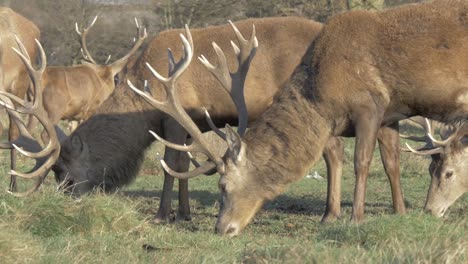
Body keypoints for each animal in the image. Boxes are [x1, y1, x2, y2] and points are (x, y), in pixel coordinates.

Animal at [132, 0, 468, 235]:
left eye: (223, 185)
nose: (221, 228)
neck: (322, 96)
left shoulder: (369, 104)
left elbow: (362, 162)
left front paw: (356, 218)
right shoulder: (390, 114)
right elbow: (391, 162)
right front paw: (400, 212)